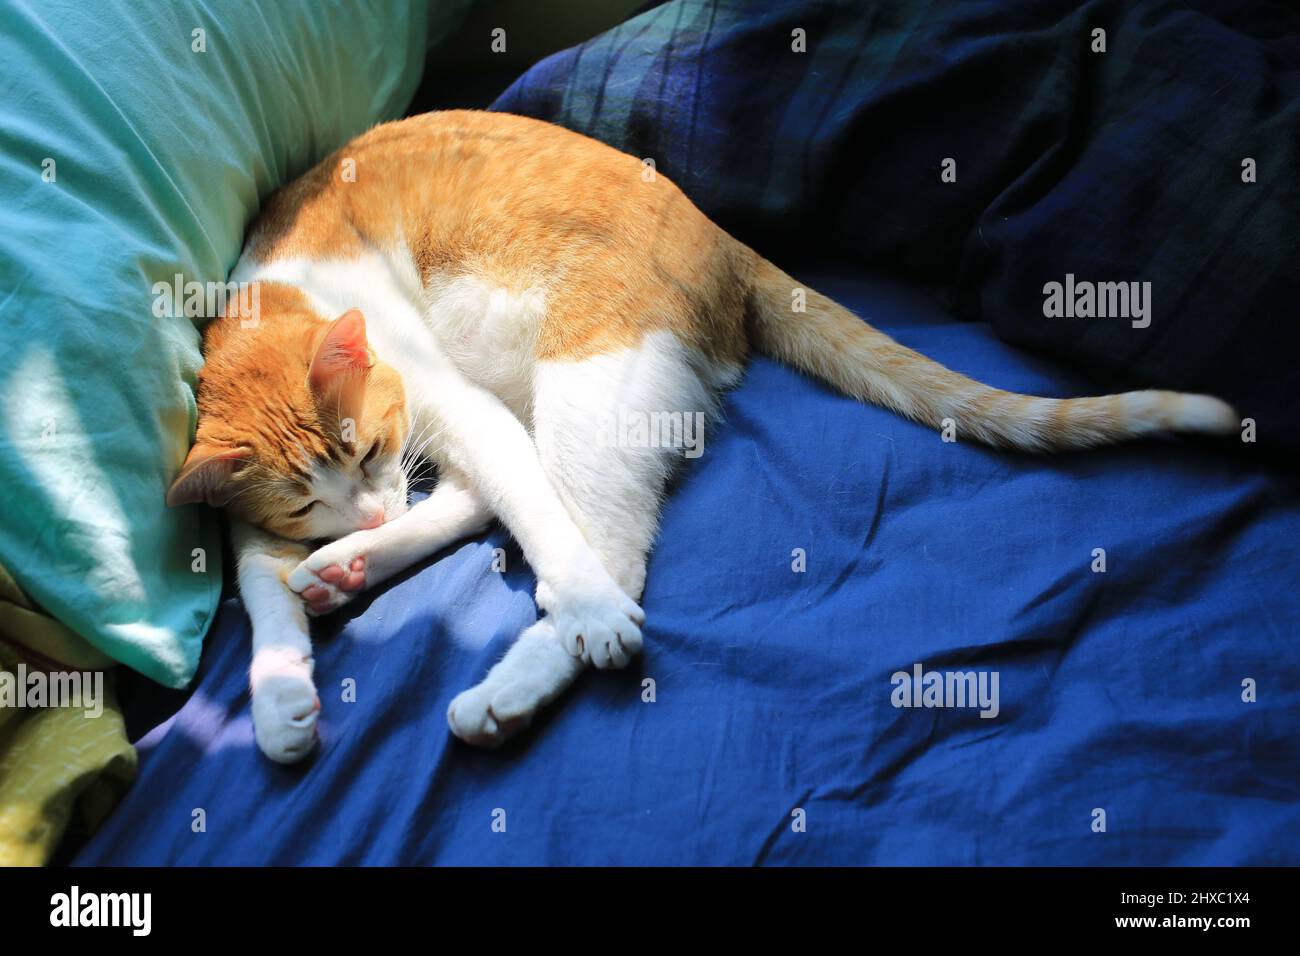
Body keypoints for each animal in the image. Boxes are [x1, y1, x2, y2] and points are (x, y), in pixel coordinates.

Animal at [165, 110, 1237, 764]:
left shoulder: (448, 406)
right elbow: (261, 592)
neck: (275, 296)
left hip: (580, 383)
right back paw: (348, 573)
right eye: (308, 495)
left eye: (369, 450)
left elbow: (534, 518)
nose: (370, 509)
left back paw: (518, 672)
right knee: (490, 503)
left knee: (597, 547)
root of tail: (725, 237)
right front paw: (279, 700)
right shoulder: (256, 519)